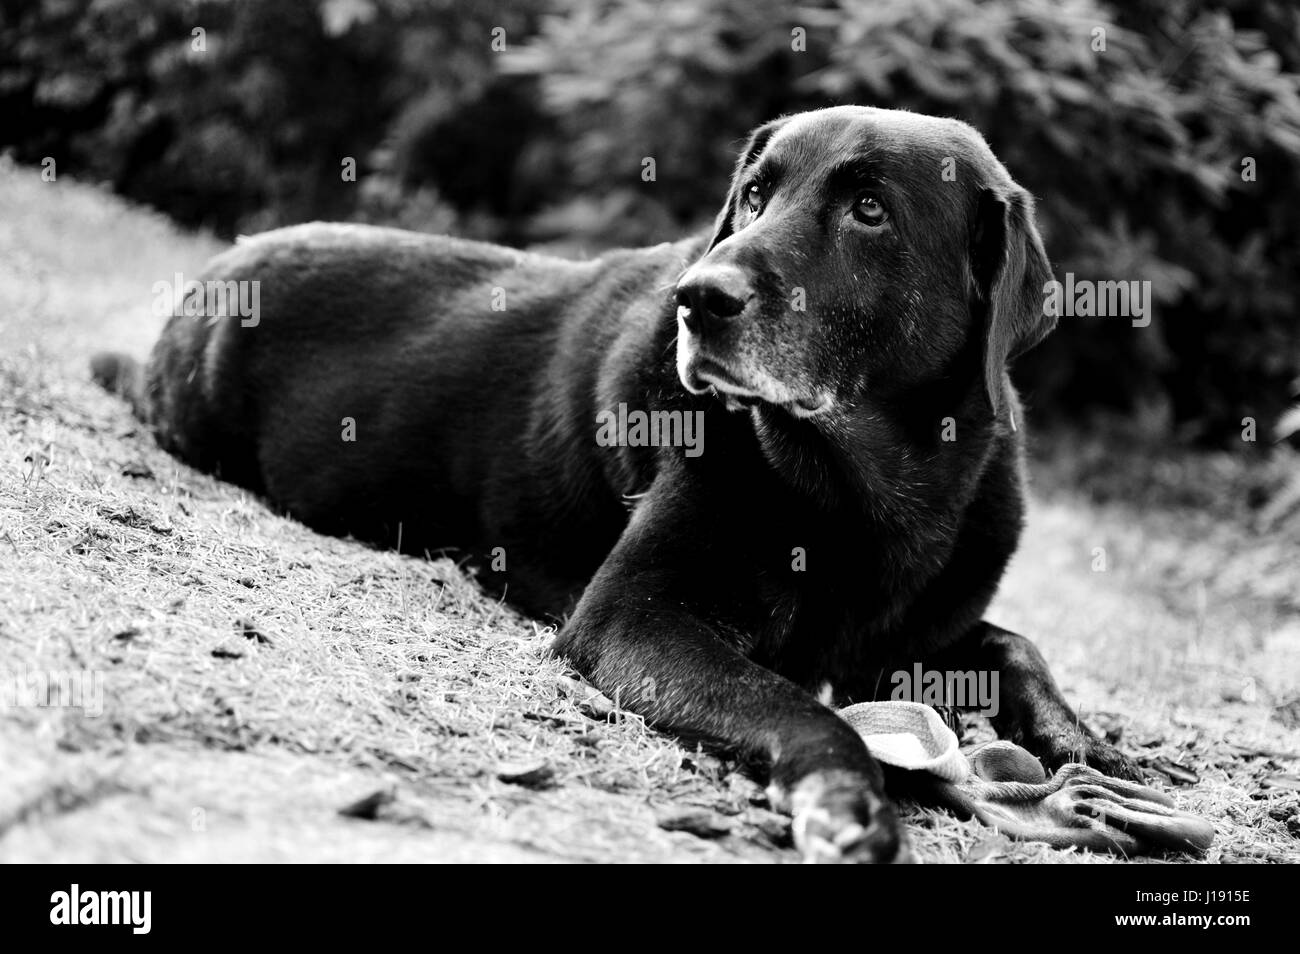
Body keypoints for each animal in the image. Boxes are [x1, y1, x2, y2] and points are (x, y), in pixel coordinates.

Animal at [94, 106, 1138, 868]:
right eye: (753, 194)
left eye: (870, 210)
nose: (699, 298)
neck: (865, 490)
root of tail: (222, 266)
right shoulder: (632, 616)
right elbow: (790, 700)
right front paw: (846, 796)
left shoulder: (916, 630)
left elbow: (1013, 643)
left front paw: (1085, 744)